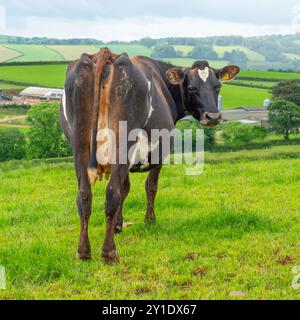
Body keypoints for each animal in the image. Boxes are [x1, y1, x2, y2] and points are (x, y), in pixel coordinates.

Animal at [61, 47, 239, 262]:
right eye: (191, 88)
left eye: (217, 86)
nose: (213, 116)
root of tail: (107, 53)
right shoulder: (158, 154)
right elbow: (150, 187)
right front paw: (149, 220)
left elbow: (125, 189)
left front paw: (118, 225)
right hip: (122, 144)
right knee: (111, 193)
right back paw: (109, 252)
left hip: (79, 146)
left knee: (84, 196)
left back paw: (83, 251)